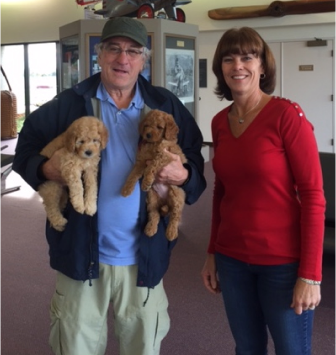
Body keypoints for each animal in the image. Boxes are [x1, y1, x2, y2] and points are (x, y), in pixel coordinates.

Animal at [122, 110, 188, 241]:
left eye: (159, 127)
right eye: (146, 125)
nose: (147, 135)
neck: (154, 143)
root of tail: (165, 203)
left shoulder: (164, 156)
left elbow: (152, 166)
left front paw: (146, 181)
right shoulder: (141, 160)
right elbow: (132, 175)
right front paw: (126, 189)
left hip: (176, 193)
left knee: (175, 214)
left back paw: (171, 232)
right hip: (151, 197)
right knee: (154, 213)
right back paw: (150, 229)